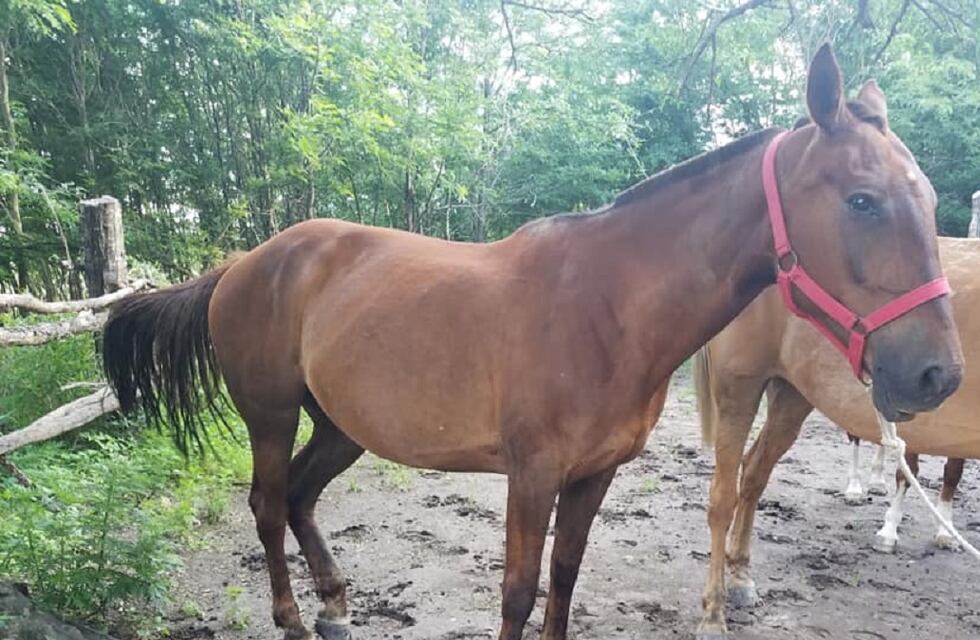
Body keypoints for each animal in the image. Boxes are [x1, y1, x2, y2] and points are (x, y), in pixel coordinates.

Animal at [694, 236, 978, 636]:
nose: (944, 375)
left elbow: (949, 472)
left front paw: (942, 531)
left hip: (792, 393)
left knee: (753, 474)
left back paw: (741, 578)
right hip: (741, 389)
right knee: (724, 495)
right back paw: (714, 611)